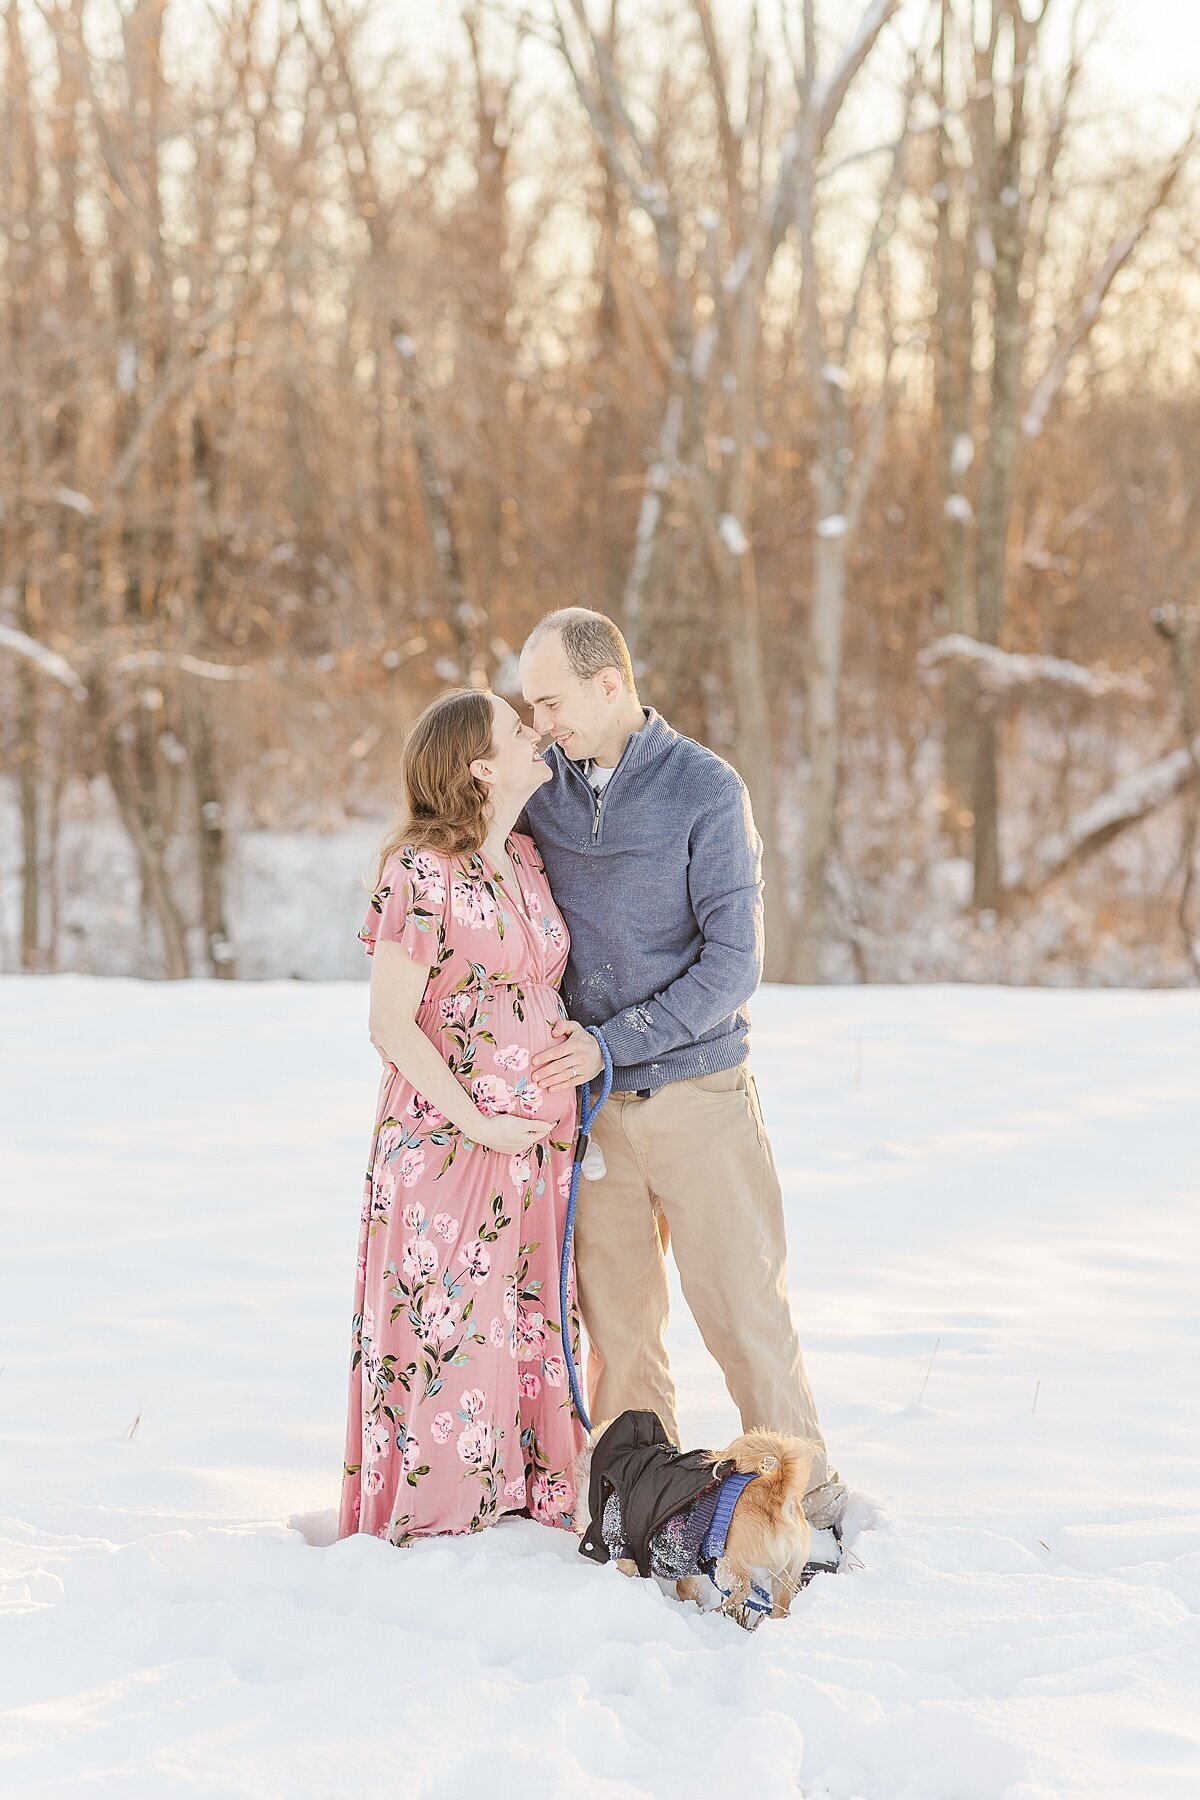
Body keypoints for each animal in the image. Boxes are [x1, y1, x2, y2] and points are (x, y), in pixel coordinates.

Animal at [572, 1404, 816, 1634]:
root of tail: (778, 1491)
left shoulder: (620, 1541)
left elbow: (628, 1569)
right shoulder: (681, 1557)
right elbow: (685, 1587)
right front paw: (693, 1602)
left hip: (730, 1559)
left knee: (742, 1590)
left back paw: (716, 1612)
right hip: (784, 1575)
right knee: (780, 1606)